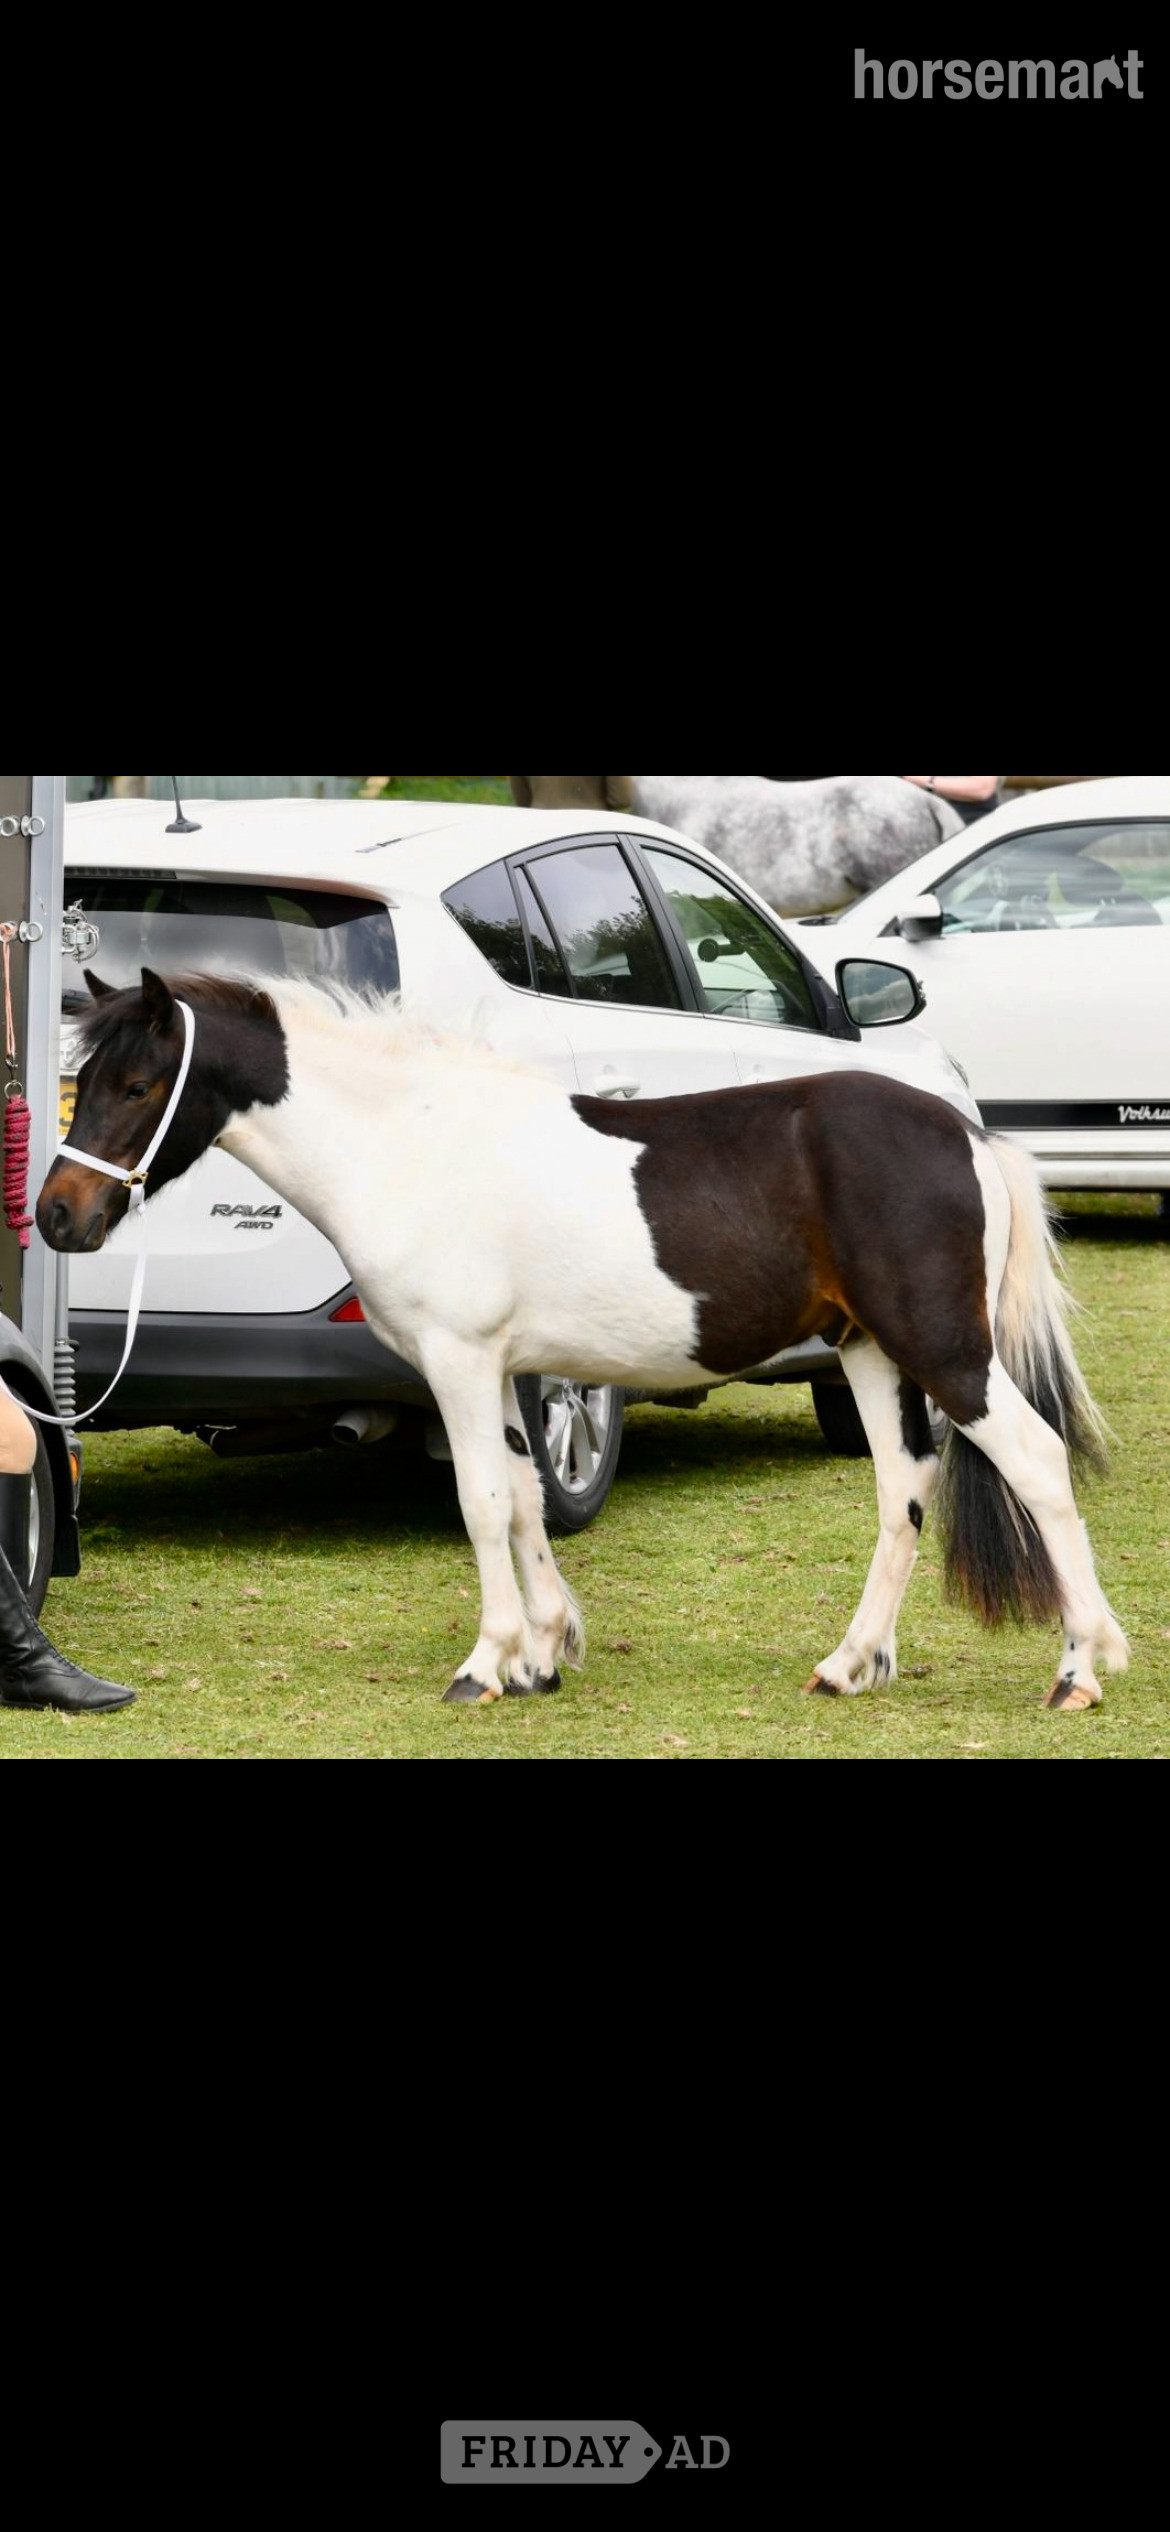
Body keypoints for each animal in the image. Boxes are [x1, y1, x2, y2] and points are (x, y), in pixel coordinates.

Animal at [36, 969, 1129, 1715]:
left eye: (139, 1085)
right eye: (88, 1079)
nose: (57, 1216)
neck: (406, 1144)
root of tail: (967, 1135)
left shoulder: (459, 1362)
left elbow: (481, 1505)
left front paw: (486, 1664)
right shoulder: (501, 1370)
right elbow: (523, 1500)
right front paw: (543, 1653)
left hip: (945, 1352)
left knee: (1036, 1464)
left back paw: (1080, 1668)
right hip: (867, 1350)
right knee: (902, 1490)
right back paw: (849, 1663)